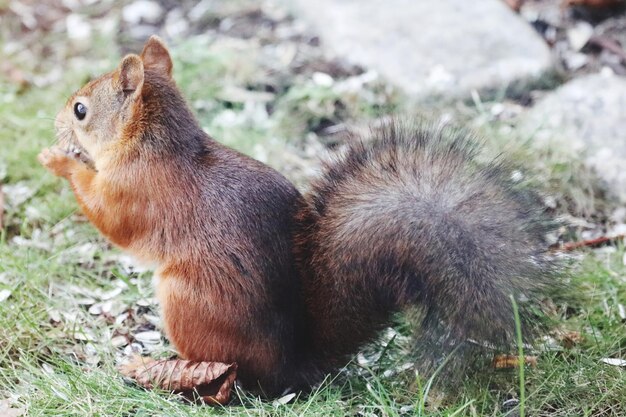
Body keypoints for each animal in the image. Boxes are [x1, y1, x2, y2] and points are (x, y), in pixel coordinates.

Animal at [37, 35, 556, 394]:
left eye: (81, 110)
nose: (57, 121)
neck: (153, 145)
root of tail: (290, 366)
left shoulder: (135, 193)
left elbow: (110, 219)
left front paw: (60, 159)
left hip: (187, 299)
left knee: (229, 371)